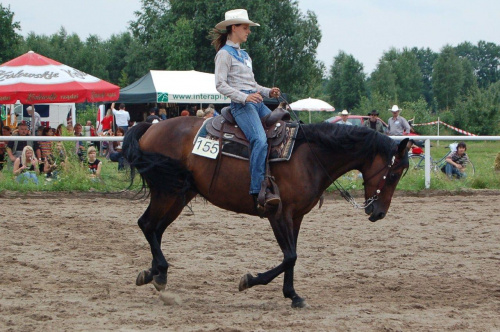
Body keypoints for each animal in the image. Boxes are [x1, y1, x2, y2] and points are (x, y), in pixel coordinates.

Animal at [122, 118, 410, 308]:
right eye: (394, 174)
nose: (379, 213)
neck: (309, 156)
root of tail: (152, 127)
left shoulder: (296, 216)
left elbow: (292, 255)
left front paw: (292, 295)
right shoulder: (278, 214)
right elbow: (290, 256)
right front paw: (250, 280)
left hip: (180, 193)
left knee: (155, 228)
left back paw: (154, 273)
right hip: (167, 191)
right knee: (146, 224)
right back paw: (159, 272)